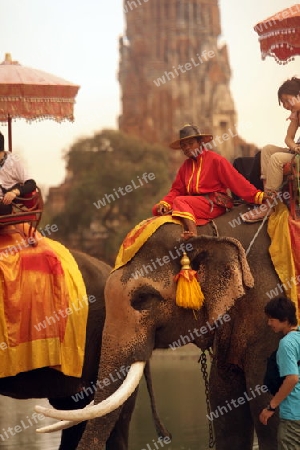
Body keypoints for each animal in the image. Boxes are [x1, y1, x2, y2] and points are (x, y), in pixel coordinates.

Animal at [36, 205, 282, 450]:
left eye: (142, 298)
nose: (166, 435)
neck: (210, 232)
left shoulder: (268, 324)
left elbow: (270, 408)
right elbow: (227, 413)